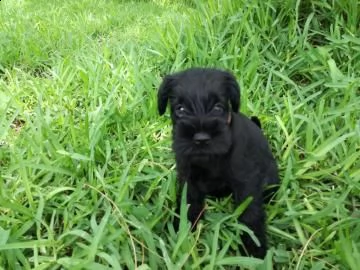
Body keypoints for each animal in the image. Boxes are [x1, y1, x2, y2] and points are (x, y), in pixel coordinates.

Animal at [158, 67, 278, 258]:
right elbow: (189, 202)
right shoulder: (188, 177)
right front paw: (182, 232)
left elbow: (250, 214)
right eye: (180, 109)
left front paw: (255, 250)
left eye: (218, 107)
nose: (201, 138)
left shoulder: (246, 182)